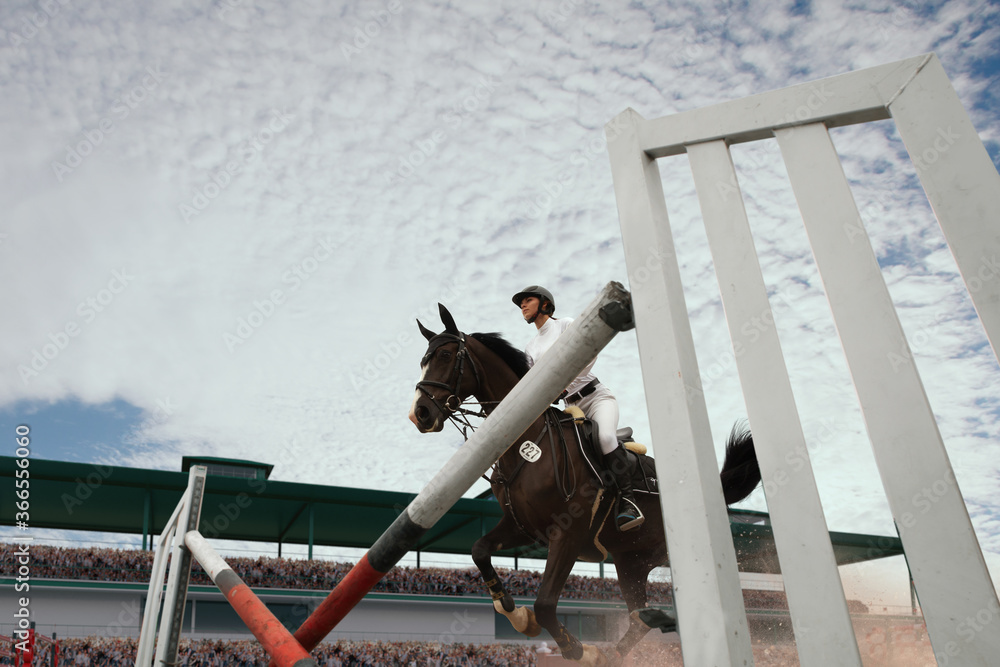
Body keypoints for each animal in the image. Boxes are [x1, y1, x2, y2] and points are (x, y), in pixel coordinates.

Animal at [406, 306, 756, 667]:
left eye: (445, 355)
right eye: (423, 360)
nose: (420, 413)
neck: (528, 442)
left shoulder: (568, 533)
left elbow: (545, 604)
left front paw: (576, 647)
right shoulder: (524, 527)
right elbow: (479, 550)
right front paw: (516, 615)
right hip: (631, 562)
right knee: (638, 619)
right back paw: (615, 651)